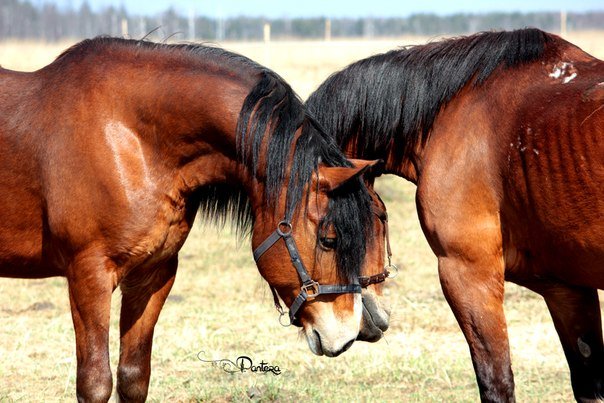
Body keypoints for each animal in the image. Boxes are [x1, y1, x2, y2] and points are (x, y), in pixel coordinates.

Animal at [0, 37, 392, 400]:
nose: (347, 334)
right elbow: (95, 384)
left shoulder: (152, 275)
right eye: (329, 240)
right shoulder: (88, 277)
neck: (129, 138)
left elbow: (133, 378)